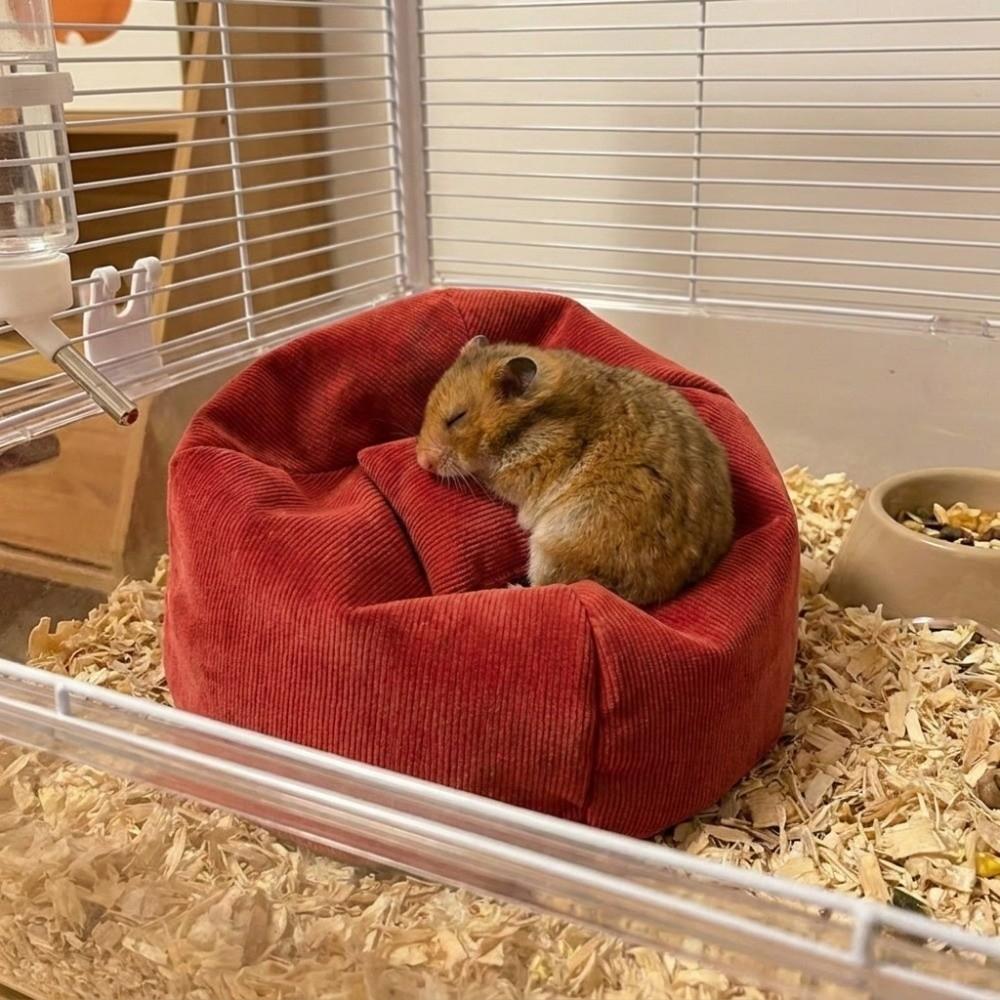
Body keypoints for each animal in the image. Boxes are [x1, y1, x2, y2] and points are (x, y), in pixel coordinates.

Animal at [415, 336, 734, 605]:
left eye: (457, 418)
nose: (421, 461)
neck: (527, 424)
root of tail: (663, 591)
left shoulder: (528, 468)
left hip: (555, 544)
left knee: (553, 585)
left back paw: (510, 588)